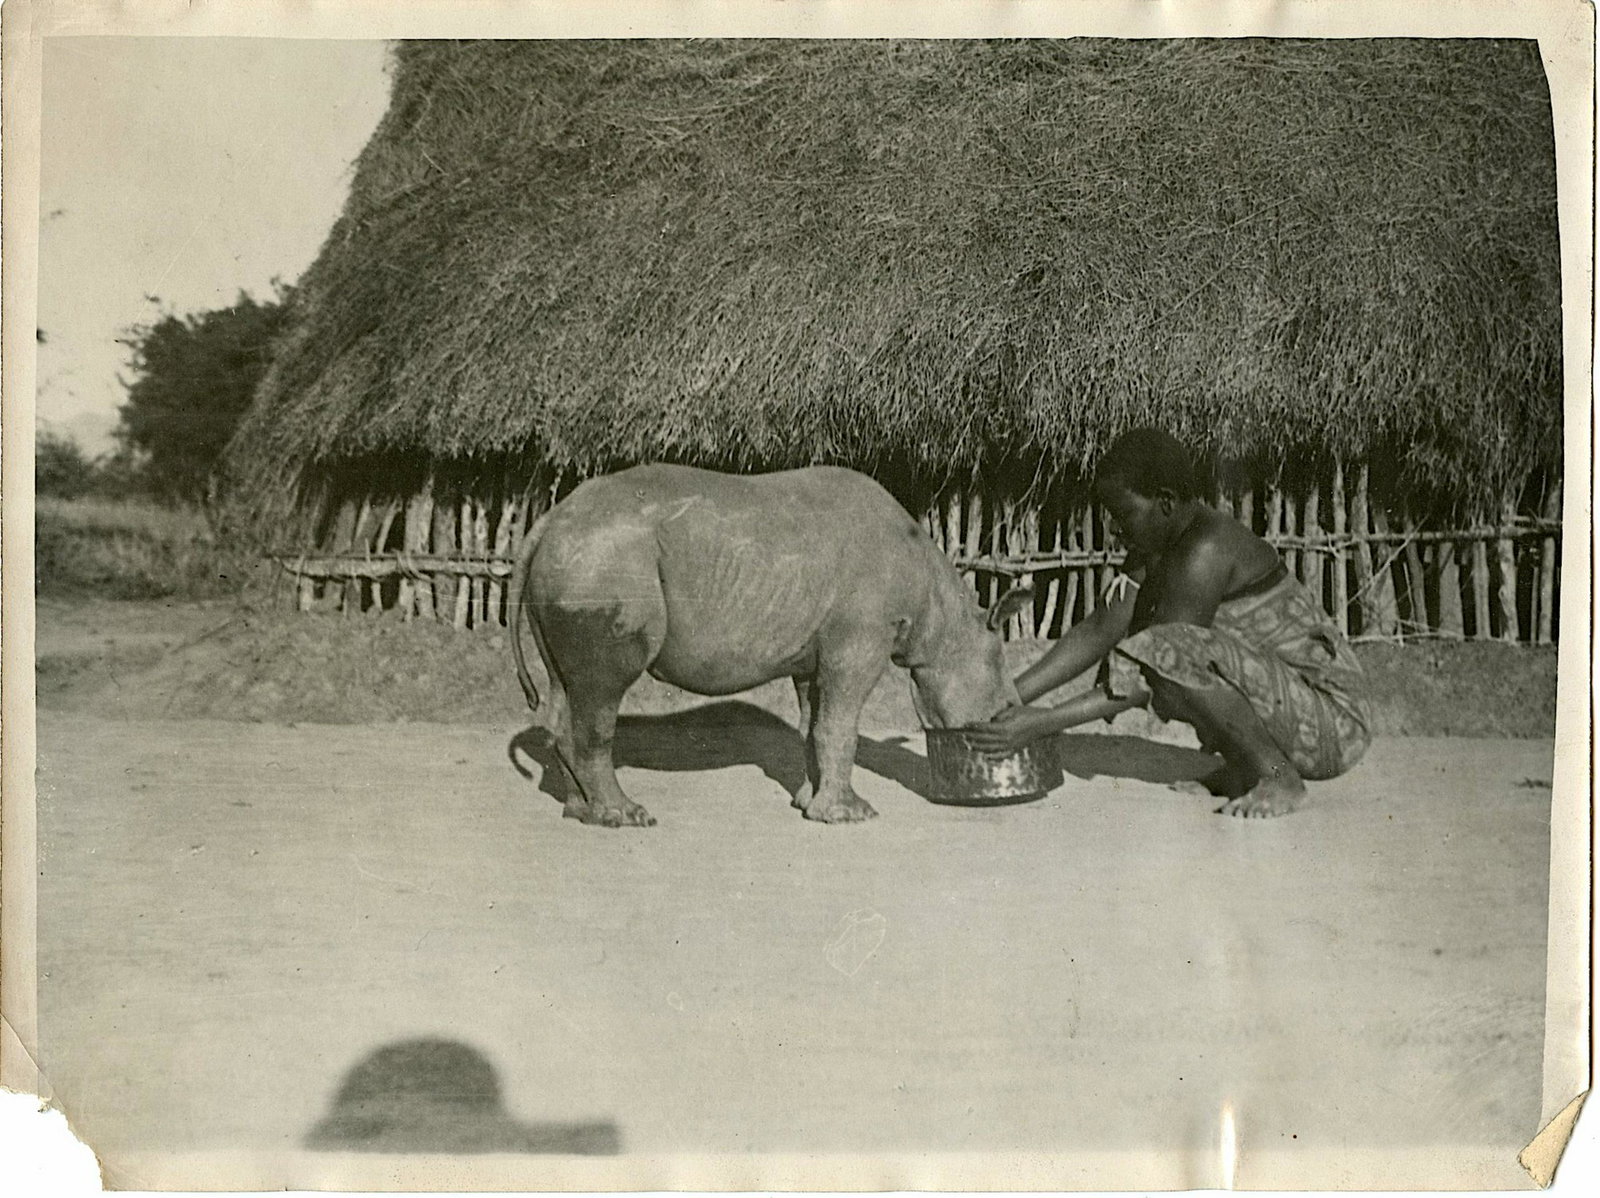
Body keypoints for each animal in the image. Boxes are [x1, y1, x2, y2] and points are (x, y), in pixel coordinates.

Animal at [509, 464, 1030, 827]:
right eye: (1004, 707)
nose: (1007, 719)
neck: (943, 619)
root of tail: (549, 521)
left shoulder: (812, 652)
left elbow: (813, 725)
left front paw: (808, 804)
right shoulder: (859, 640)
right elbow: (841, 725)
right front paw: (851, 815)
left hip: (577, 559)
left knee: (566, 685)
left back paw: (584, 813)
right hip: (606, 563)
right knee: (603, 688)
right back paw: (625, 815)